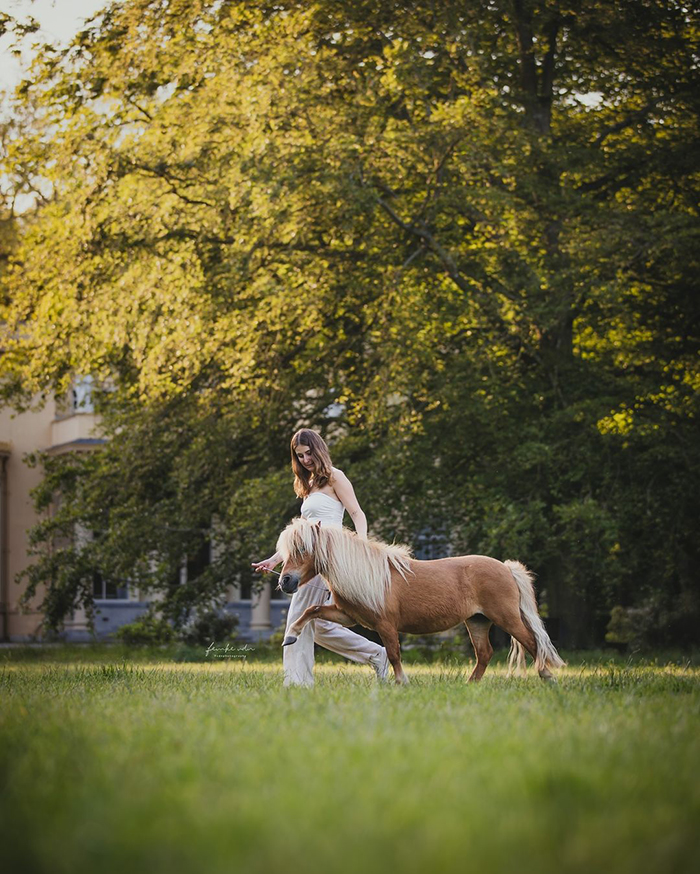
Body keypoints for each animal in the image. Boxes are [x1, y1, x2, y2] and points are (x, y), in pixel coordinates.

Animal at [274, 516, 564, 684]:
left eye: (303, 549)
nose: (285, 581)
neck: (368, 574)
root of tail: (505, 567)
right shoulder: (348, 616)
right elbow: (311, 610)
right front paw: (291, 636)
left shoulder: (386, 625)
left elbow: (394, 653)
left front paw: (401, 682)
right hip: (478, 621)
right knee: (485, 653)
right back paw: (470, 685)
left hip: (506, 617)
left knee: (532, 642)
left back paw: (548, 678)